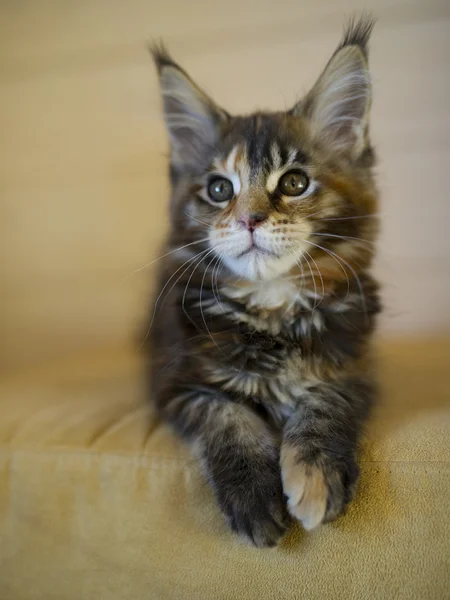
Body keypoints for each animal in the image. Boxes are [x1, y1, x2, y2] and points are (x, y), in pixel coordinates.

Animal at [147, 16, 380, 548]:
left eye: (294, 183)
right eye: (219, 189)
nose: (249, 219)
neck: (271, 306)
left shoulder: (355, 369)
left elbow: (324, 405)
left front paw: (315, 475)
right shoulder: (178, 383)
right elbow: (227, 417)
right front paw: (254, 494)